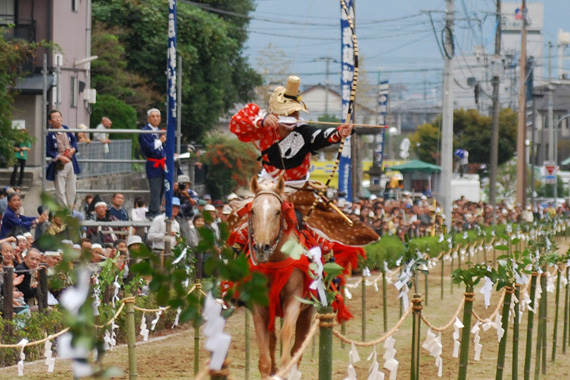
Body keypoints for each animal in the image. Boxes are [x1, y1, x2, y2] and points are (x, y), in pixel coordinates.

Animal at [247, 177, 312, 378]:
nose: (262, 248)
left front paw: (284, 370)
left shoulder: (294, 299)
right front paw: (270, 370)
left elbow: (287, 336)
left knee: (298, 344)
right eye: (253, 210)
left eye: (277, 212)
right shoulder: (259, 306)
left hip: (308, 310)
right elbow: (265, 358)